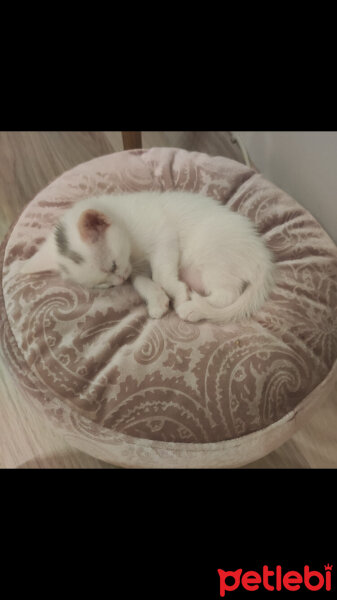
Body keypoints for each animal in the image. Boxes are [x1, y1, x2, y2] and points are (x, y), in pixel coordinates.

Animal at [20, 191, 272, 324]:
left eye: (112, 266)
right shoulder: (136, 269)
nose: (119, 281)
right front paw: (157, 300)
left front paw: (178, 293)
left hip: (212, 257)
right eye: (104, 285)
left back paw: (191, 307)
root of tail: (263, 257)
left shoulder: (164, 236)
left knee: (227, 294)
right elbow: (143, 282)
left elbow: (161, 275)